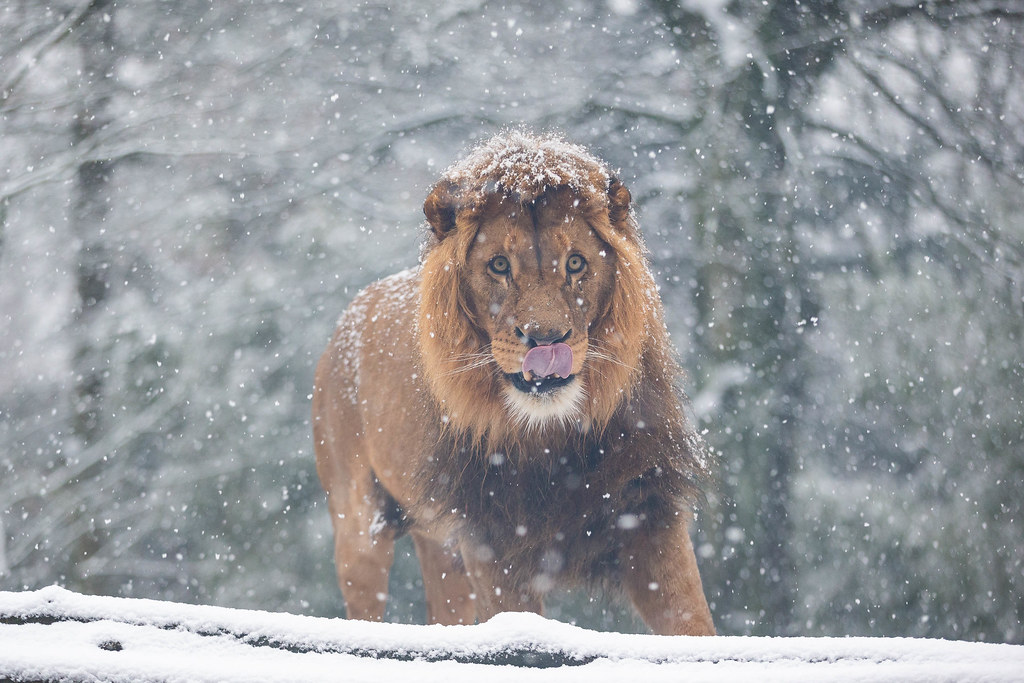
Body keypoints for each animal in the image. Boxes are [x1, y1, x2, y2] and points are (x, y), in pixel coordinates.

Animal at [312, 131, 715, 636]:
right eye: (499, 265)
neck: (553, 437)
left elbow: (691, 620)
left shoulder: (647, 509)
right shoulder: (493, 538)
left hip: (441, 548)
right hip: (358, 526)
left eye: (576, 263)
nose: (546, 340)